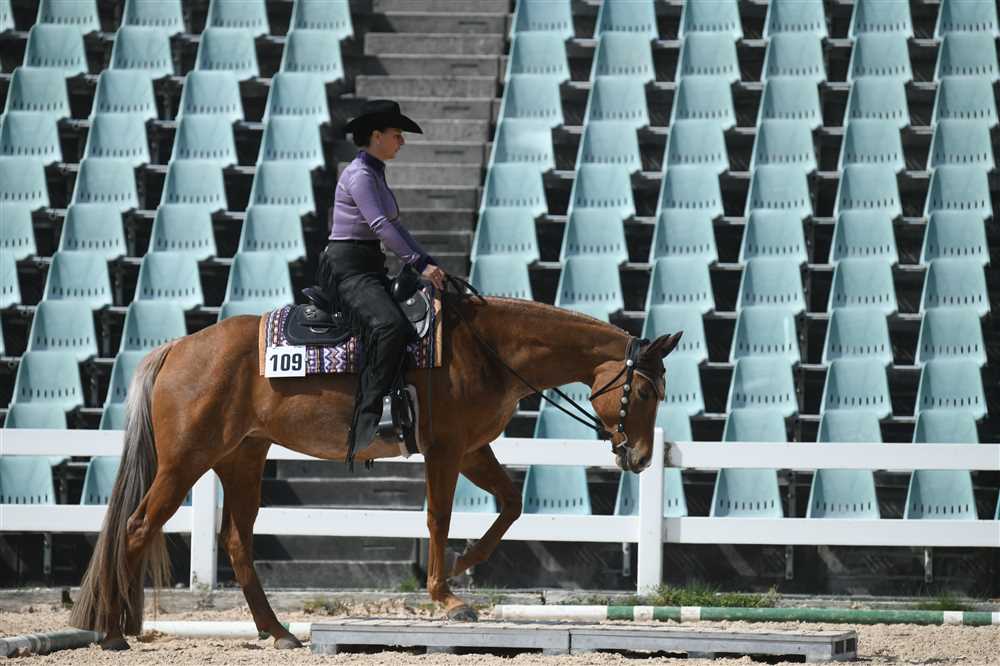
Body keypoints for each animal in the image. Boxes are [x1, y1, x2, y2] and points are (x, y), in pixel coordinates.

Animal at [68, 292, 682, 650]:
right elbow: (438, 518)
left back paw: (278, 632)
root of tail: (177, 348)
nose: (640, 457)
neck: (488, 348)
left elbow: (511, 504)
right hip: (185, 463)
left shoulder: (473, 449)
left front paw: (465, 565)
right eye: (643, 391)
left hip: (242, 458)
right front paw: (447, 596)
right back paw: (114, 633)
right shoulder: (446, 449)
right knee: (137, 527)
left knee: (237, 542)